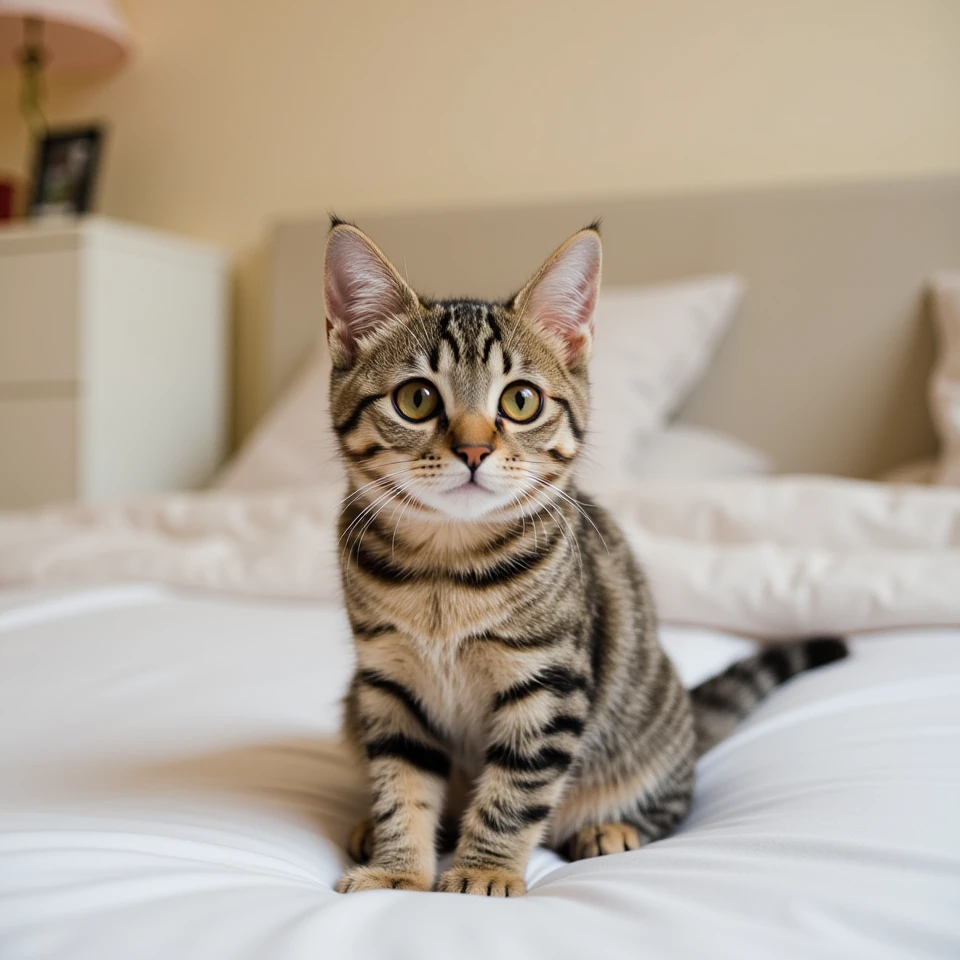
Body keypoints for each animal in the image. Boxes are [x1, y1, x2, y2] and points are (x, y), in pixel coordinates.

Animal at [324, 216, 848, 892]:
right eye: (416, 399)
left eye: (520, 401)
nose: (473, 450)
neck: (446, 568)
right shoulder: (388, 682)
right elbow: (401, 784)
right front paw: (396, 869)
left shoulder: (549, 682)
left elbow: (514, 791)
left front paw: (483, 871)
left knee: (670, 803)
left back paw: (611, 828)